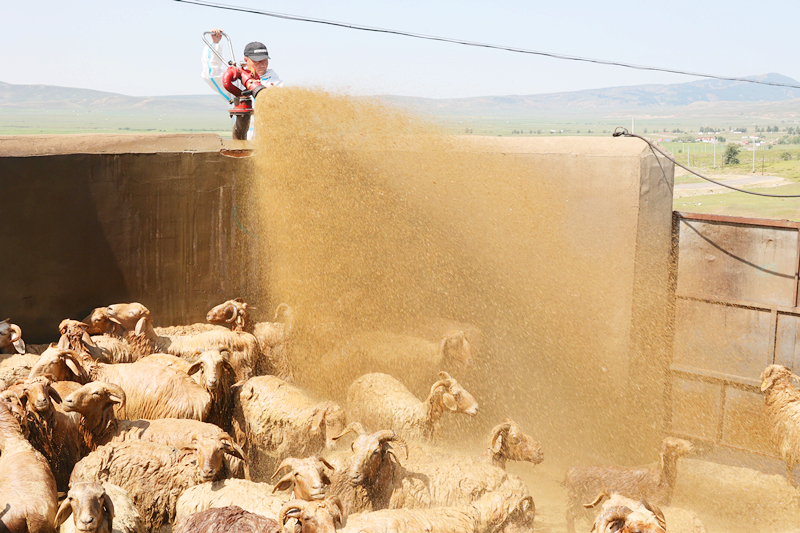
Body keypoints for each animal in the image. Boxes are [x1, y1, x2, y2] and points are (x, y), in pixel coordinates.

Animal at [563, 437, 694, 533]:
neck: (661, 477)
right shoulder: (657, 501)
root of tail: (570, 472)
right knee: (572, 514)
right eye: (675, 445)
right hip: (582, 498)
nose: (691, 446)